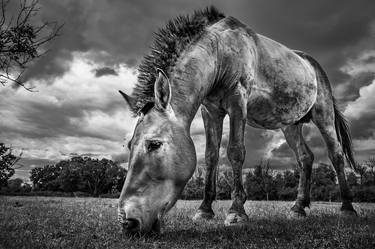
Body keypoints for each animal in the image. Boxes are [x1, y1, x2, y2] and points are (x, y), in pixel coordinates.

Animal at [117, 6, 358, 234]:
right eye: (129, 145)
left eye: (154, 144)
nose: (127, 221)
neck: (219, 50)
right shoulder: (211, 111)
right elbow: (211, 156)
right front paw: (204, 210)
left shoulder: (237, 102)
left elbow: (235, 151)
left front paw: (236, 212)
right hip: (290, 125)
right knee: (305, 157)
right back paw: (298, 208)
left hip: (323, 114)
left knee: (336, 154)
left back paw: (347, 208)